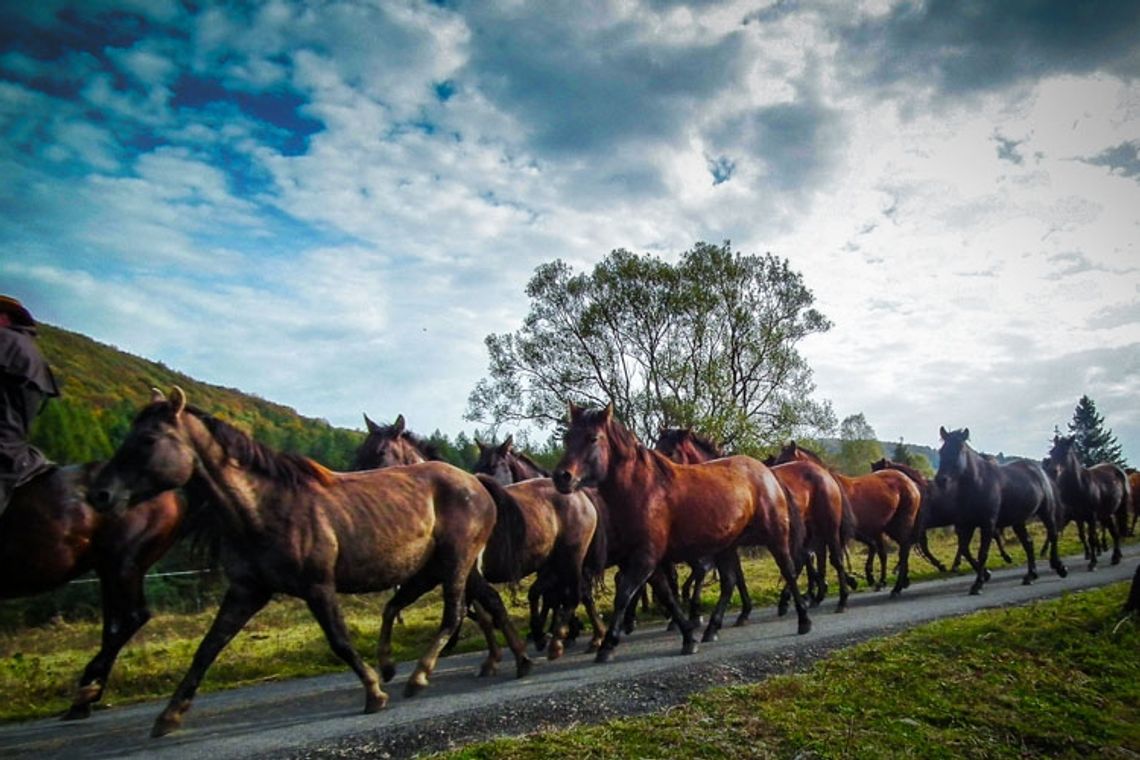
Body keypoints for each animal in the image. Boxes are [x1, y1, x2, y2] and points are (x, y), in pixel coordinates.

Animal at [0, 464, 182, 720]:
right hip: (108, 568)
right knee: (116, 625)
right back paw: (86, 696)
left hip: (123, 563)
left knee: (132, 617)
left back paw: (85, 693)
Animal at [88, 387, 524, 738]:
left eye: (148, 439)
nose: (100, 494)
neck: (265, 508)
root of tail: (474, 483)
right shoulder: (247, 591)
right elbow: (208, 648)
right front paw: (169, 715)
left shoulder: (317, 586)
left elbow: (340, 641)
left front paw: (373, 692)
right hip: (440, 569)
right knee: (460, 606)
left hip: (455, 564)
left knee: (456, 612)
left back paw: (422, 675)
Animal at [551, 403, 811, 660]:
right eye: (567, 437)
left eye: (593, 438)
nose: (562, 477)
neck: (643, 489)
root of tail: (766, 471)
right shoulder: (649, 561)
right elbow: (667, 596)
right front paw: (688, 636)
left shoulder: (645, 558)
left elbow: (623, 594)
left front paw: (607, 645)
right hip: (727, 546)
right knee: (729, 581)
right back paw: (712, 628)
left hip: (775, 537)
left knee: (788, 570)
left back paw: (803, 620)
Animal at [770, 442, 921, 597]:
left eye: (785, 461)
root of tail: (909, 482)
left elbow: (831, 559)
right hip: (888, 528)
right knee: (895, 550)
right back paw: (895, 581)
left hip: (899, 525)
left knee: (903, 549)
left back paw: (895, 586)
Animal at [934, 428, 1067, 592]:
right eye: (942, 451)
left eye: (959, 450)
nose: (941, 480)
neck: (978, 483)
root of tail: (1040, 471)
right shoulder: (968, 524)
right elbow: (964, 549)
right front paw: (985, 574)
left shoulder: (988, 524)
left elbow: (982, 553)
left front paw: (978, 584)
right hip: (1018, 522)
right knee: (1028, 543)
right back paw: (1031, 575)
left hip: (1046, 512)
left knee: (1053, 535)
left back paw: (1060, 568)